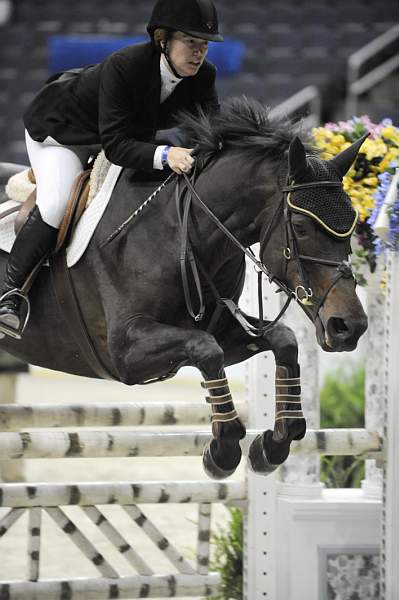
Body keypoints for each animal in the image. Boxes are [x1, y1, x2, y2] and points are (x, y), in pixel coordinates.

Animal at [0, 98, 368, 480]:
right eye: (300, 225)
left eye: (352, 222)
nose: (350, 327)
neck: (185, 231)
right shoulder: (123, 351)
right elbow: (205, 350)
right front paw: (223, 451)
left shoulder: (223, 329)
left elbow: (282, 339)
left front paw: (273, 445)